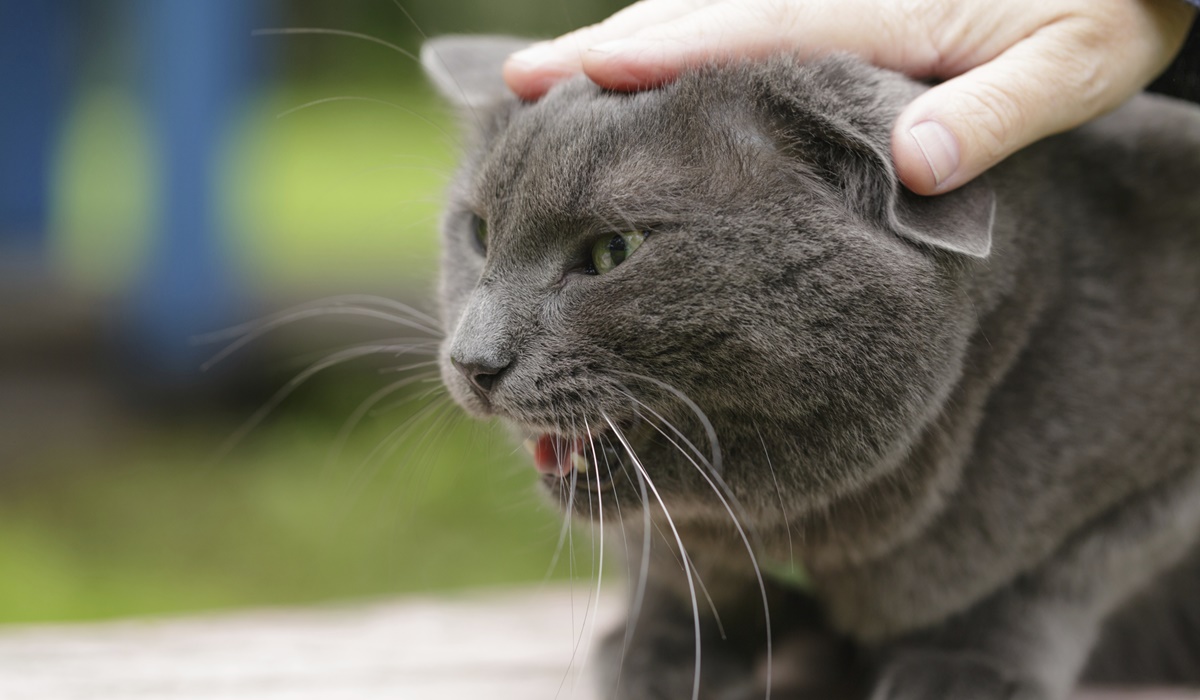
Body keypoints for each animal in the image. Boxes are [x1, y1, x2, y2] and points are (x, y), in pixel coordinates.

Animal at [420, 35, 1200, 700]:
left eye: (616, 250)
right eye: (479, 232)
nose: (471, 360)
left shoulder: (1162, 479)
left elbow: (1060, 575)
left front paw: (966, 669)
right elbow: (677, 568)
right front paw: (660, 653)